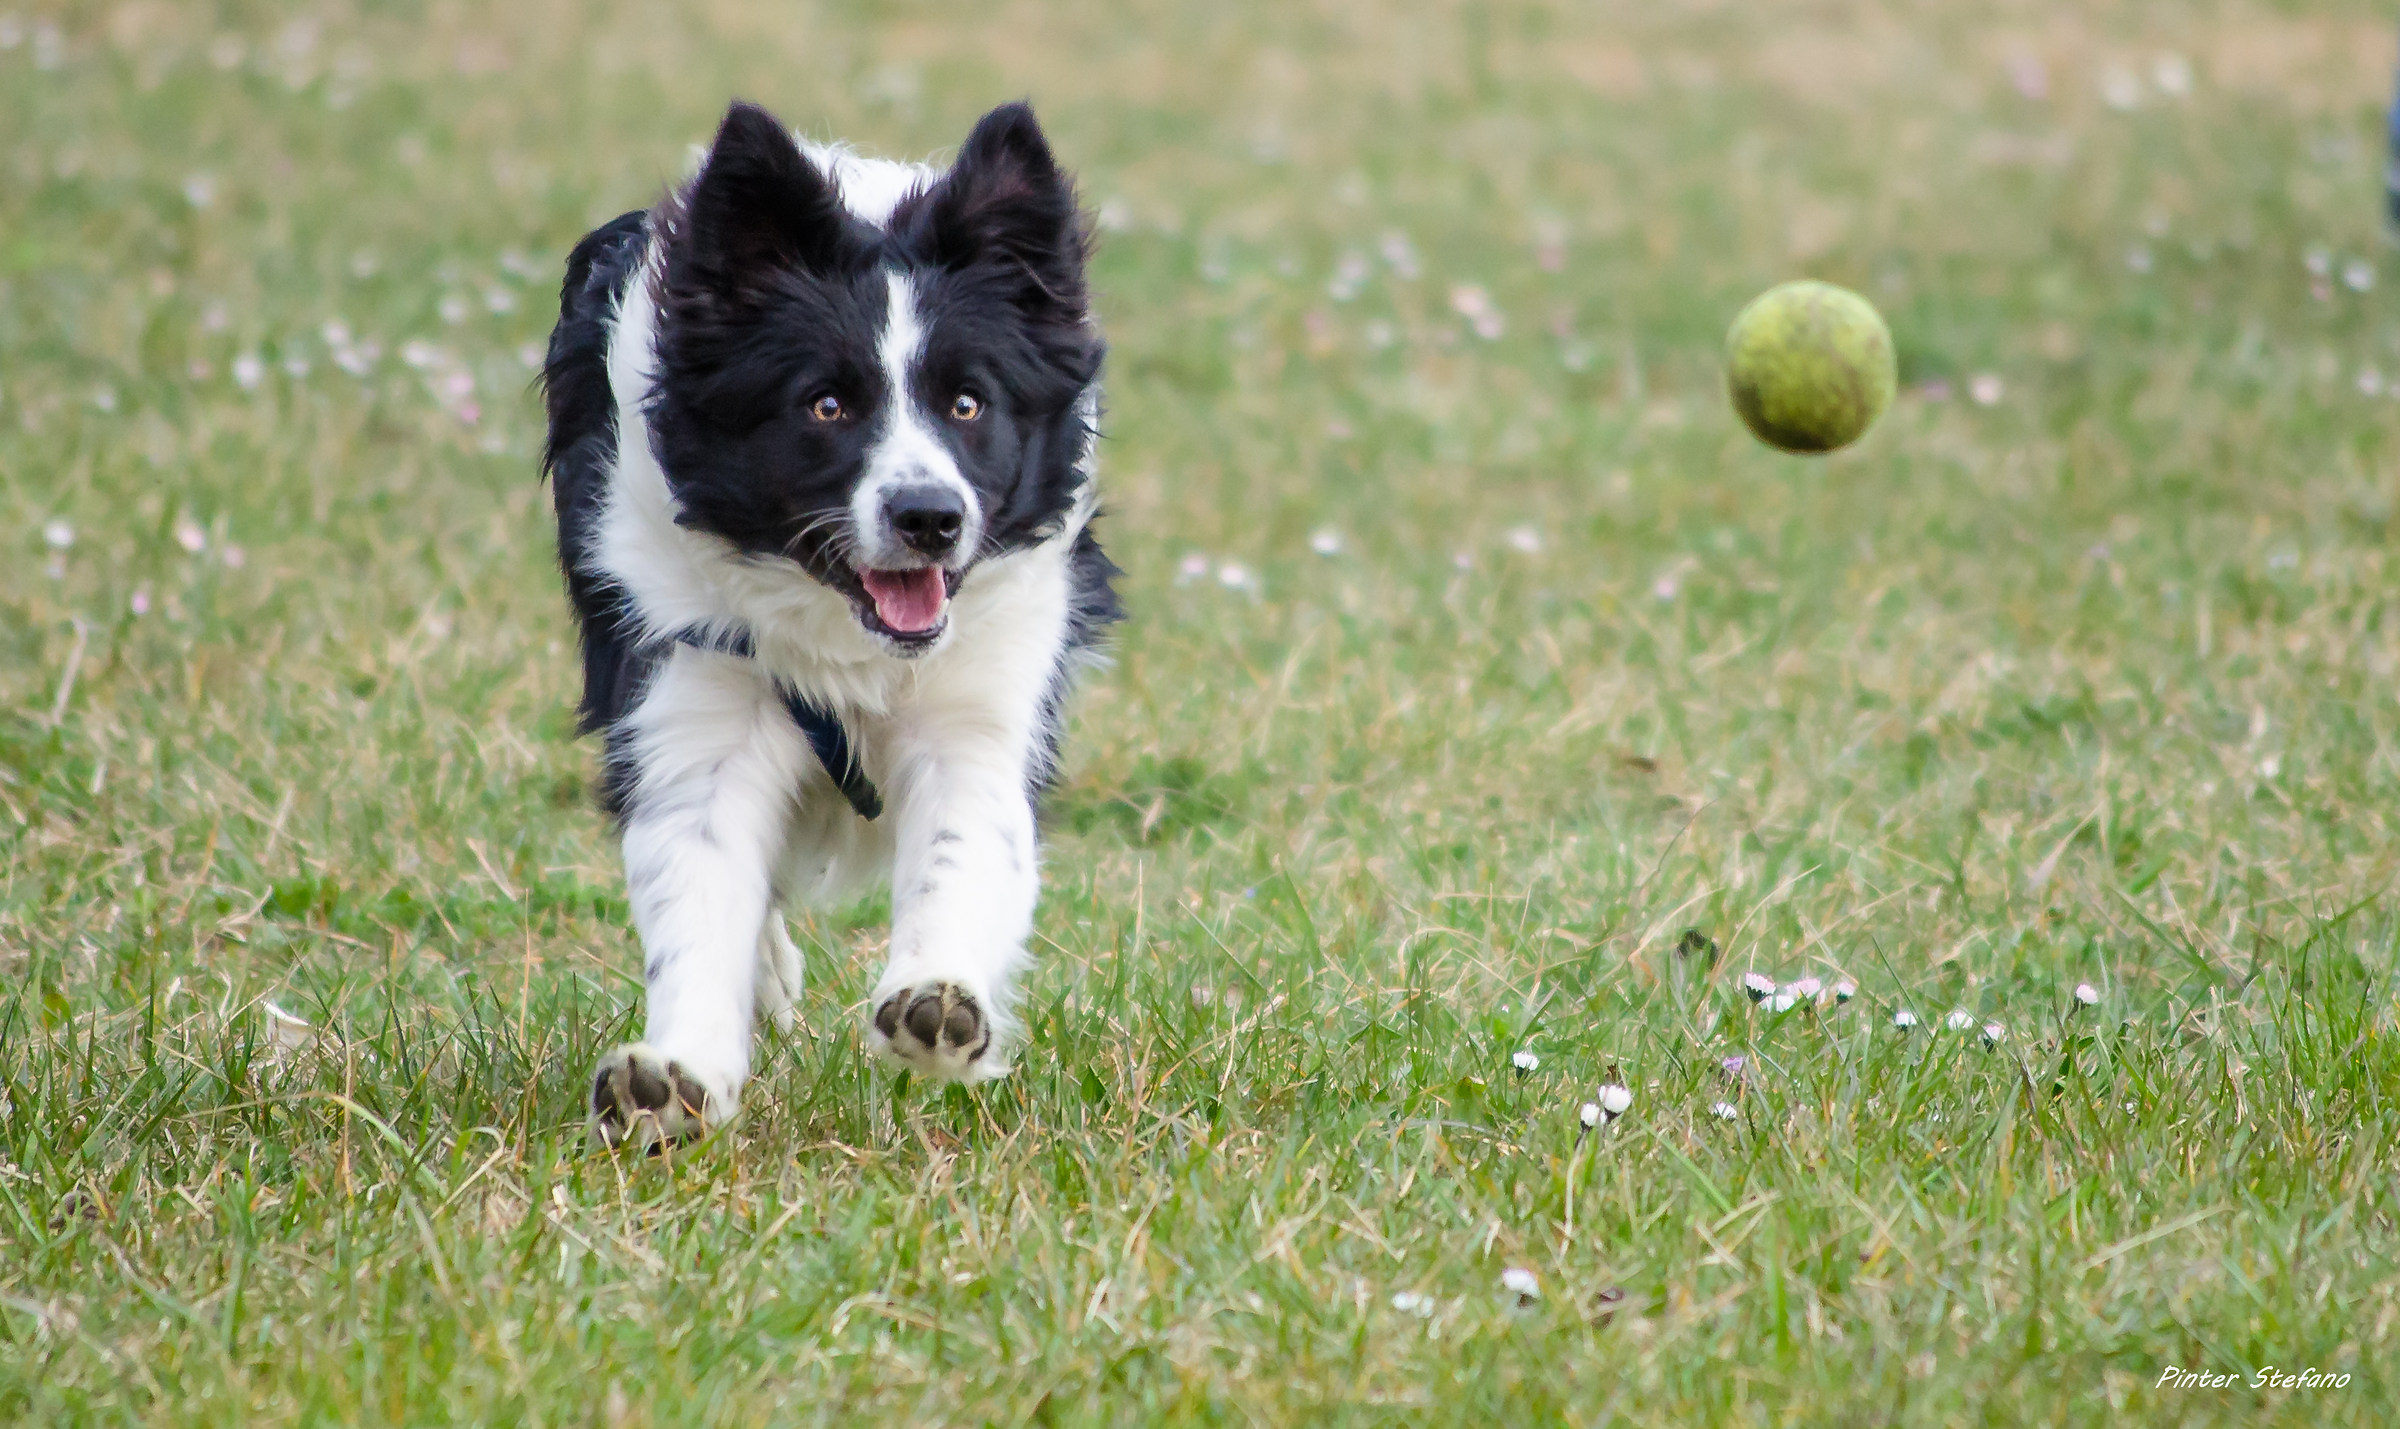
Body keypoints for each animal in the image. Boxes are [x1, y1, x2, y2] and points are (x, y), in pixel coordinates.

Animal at [540, 100, 1118, 1152]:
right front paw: (674, 1075)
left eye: (967, 401)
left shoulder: (982, 700)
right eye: (827, 404)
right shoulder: (690, 685)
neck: (851, 644)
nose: (930, 517)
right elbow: (699, 883)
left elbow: (963, 850)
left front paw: (939, 1002)